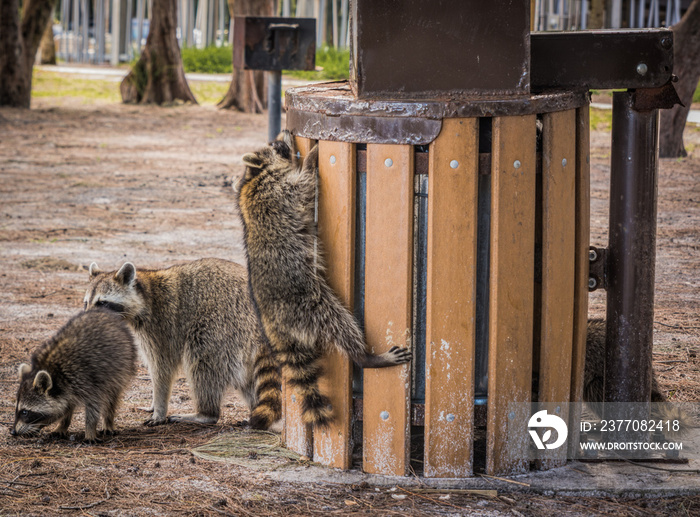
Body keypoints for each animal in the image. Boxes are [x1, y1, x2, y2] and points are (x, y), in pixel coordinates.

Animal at [12, 308, 137, 442]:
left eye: (25, 412)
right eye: (17, 409)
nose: (13, 432)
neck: (55, 374)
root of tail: (103, 312)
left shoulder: (86, 380)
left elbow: (93, 406)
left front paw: (90, 430)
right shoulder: (69, 388)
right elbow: (67, 406)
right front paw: (63, 424)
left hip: (121, 366)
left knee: (112, 397)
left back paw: (108, 420)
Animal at [237, 130, 410, 428]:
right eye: (276, 145)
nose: (285, 132)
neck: (254, 176)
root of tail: (271, 321)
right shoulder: (278, 192)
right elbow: (304, 184)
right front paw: (311, 157)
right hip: (308, 304)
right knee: (339, 323)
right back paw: (366, 357)